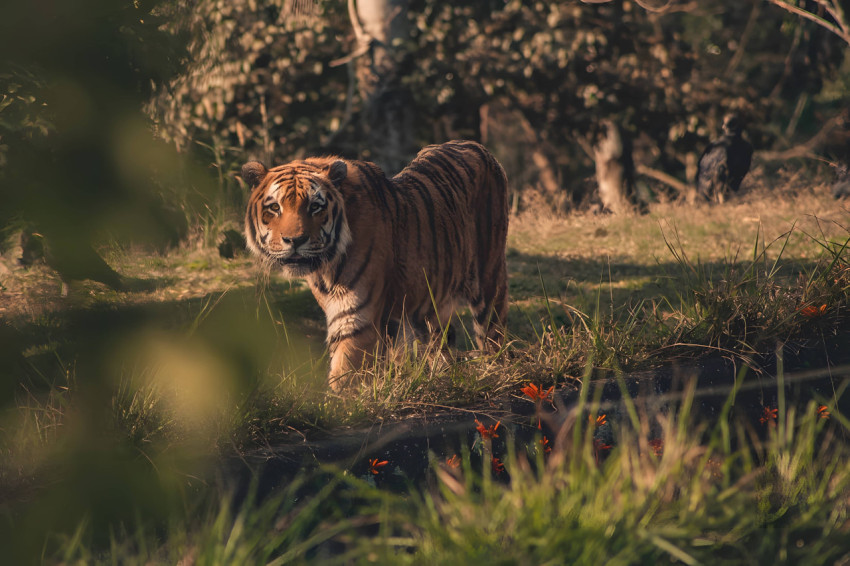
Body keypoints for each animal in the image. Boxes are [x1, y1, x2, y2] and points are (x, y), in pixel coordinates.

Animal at [243, 140, 509, 391]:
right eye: (274, 207)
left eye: (315, 206)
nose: (295, 240)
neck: (325, 268)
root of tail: (476, 145)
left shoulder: (357, 315)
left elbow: (345, 371)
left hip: (489, 279)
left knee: (492, 334)